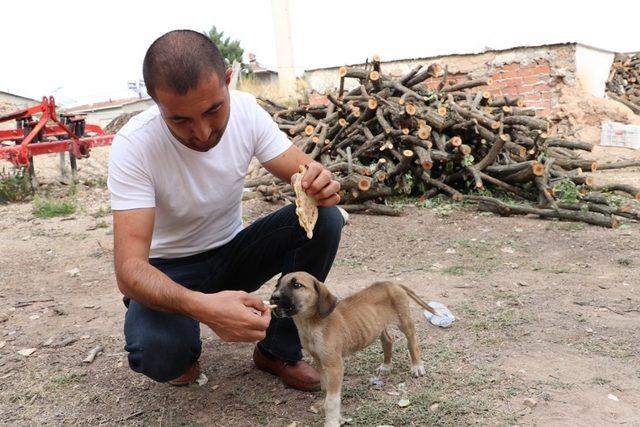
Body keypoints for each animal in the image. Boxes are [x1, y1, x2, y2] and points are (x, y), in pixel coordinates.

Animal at [270, 272, 436, 426]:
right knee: (388, 340)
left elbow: (332, 400)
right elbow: (326, 390)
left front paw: (332, 421)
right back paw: (386, 366)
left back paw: (417, 366)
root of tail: (392, 283)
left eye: (296, 285)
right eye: (277, 285)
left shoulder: (334, 366)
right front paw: (336, 416)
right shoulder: (319, 361)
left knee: (412, 342)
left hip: (404, 322)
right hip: (377, 326)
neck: (311, 324)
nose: (273, 298)